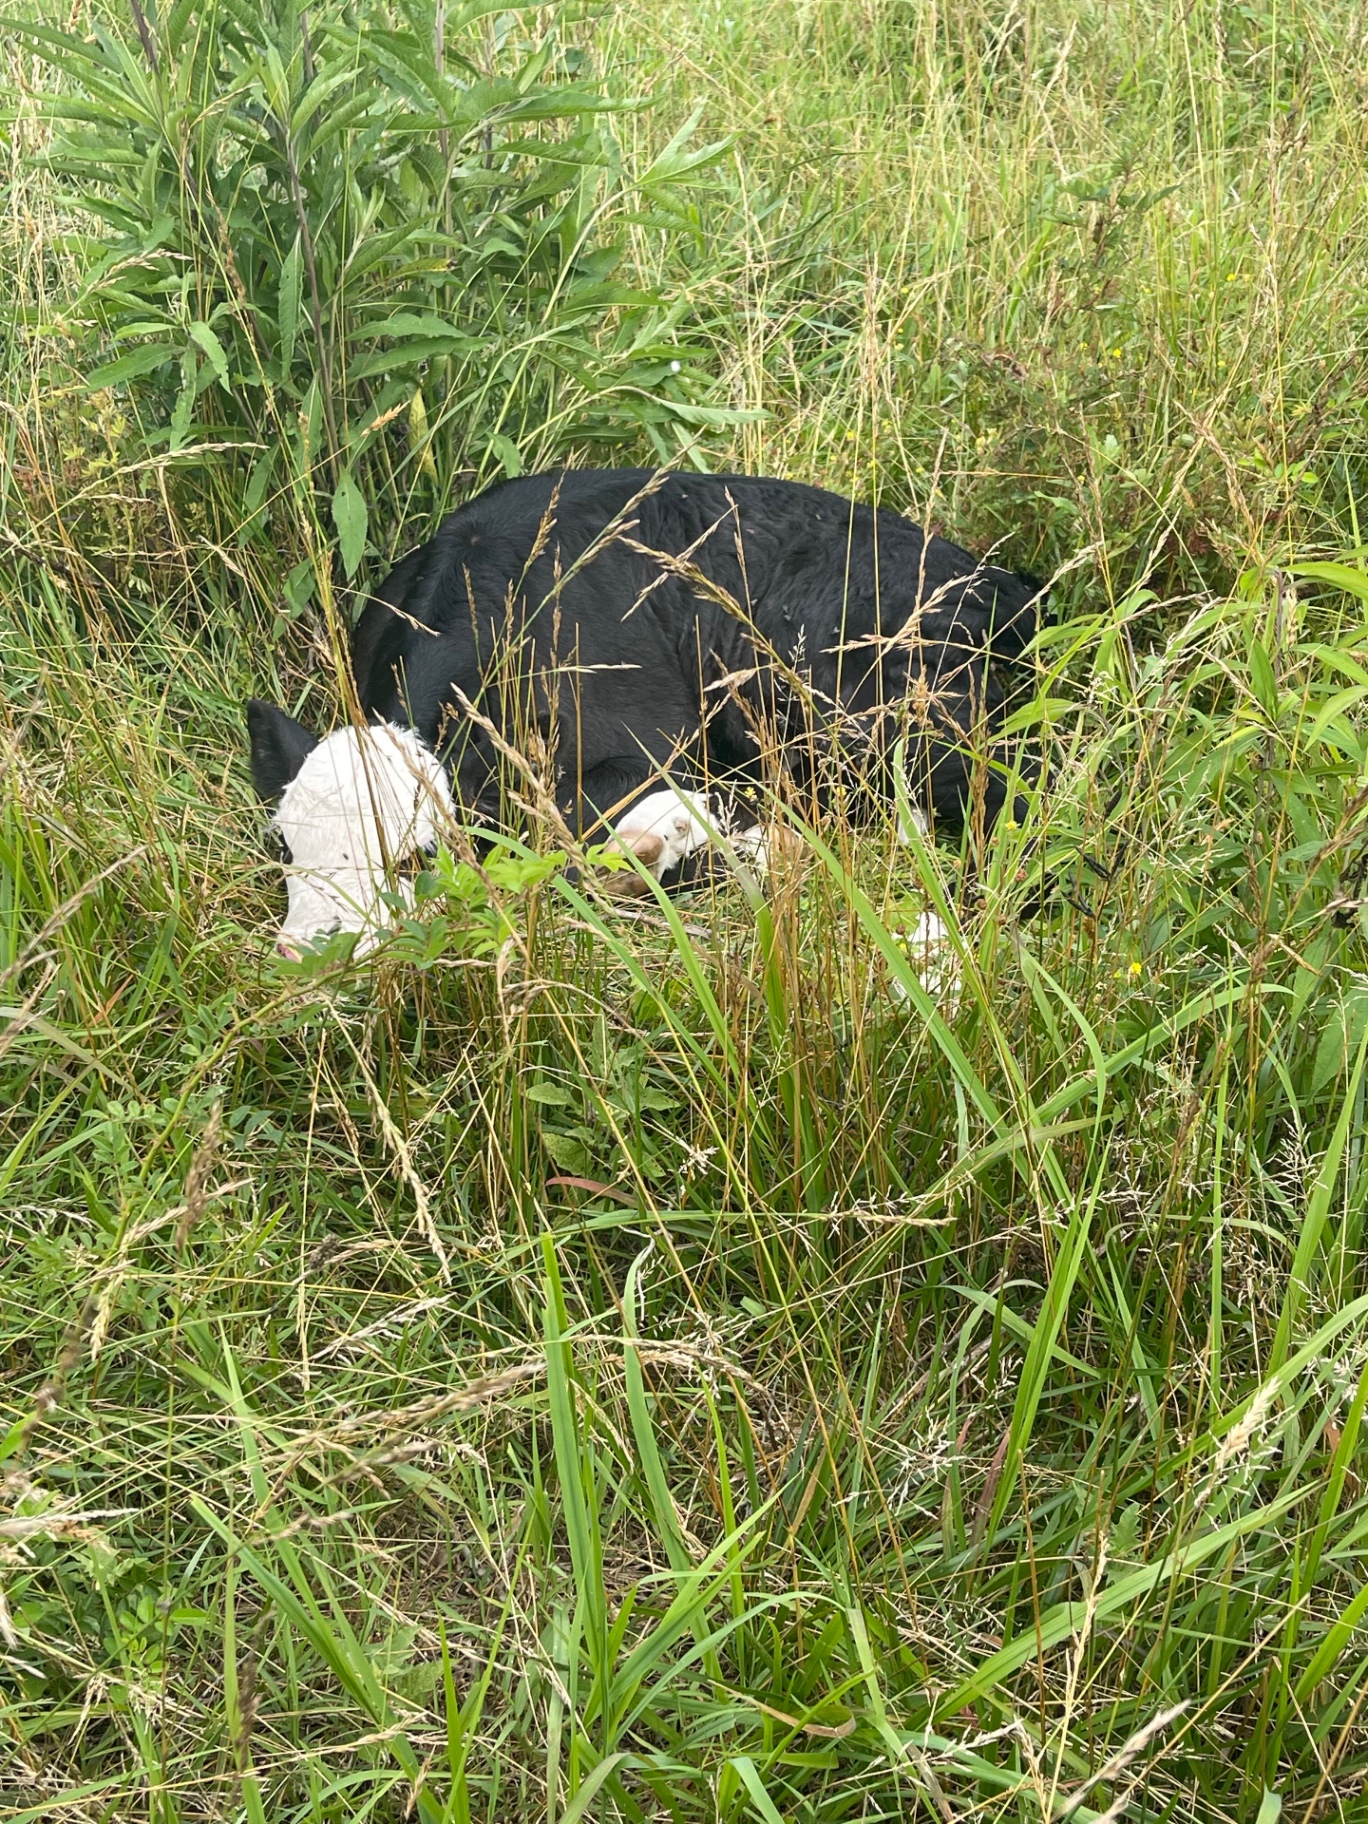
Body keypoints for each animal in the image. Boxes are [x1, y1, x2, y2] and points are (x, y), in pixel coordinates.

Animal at [246, 468, 1043, 956]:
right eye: (285, 847)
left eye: (414, 856)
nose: (309, 950)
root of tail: (998, 579)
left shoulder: (655, 747)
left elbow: (555, 824)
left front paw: (669, 844)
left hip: (854, 704)